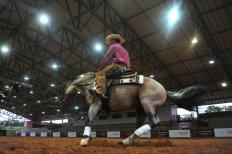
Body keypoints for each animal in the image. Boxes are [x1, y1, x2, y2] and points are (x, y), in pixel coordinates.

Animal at [64, 72, 208, 146]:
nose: (65, 90)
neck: (92, 85)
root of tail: (164, 89)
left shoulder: (96, 104)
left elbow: (88, 120)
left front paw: (84, 139)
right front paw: (88, 138)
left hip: (147, 104)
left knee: (154, 122)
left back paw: (128, 140)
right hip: (142, 109)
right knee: (143, 123)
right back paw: (129, 140)